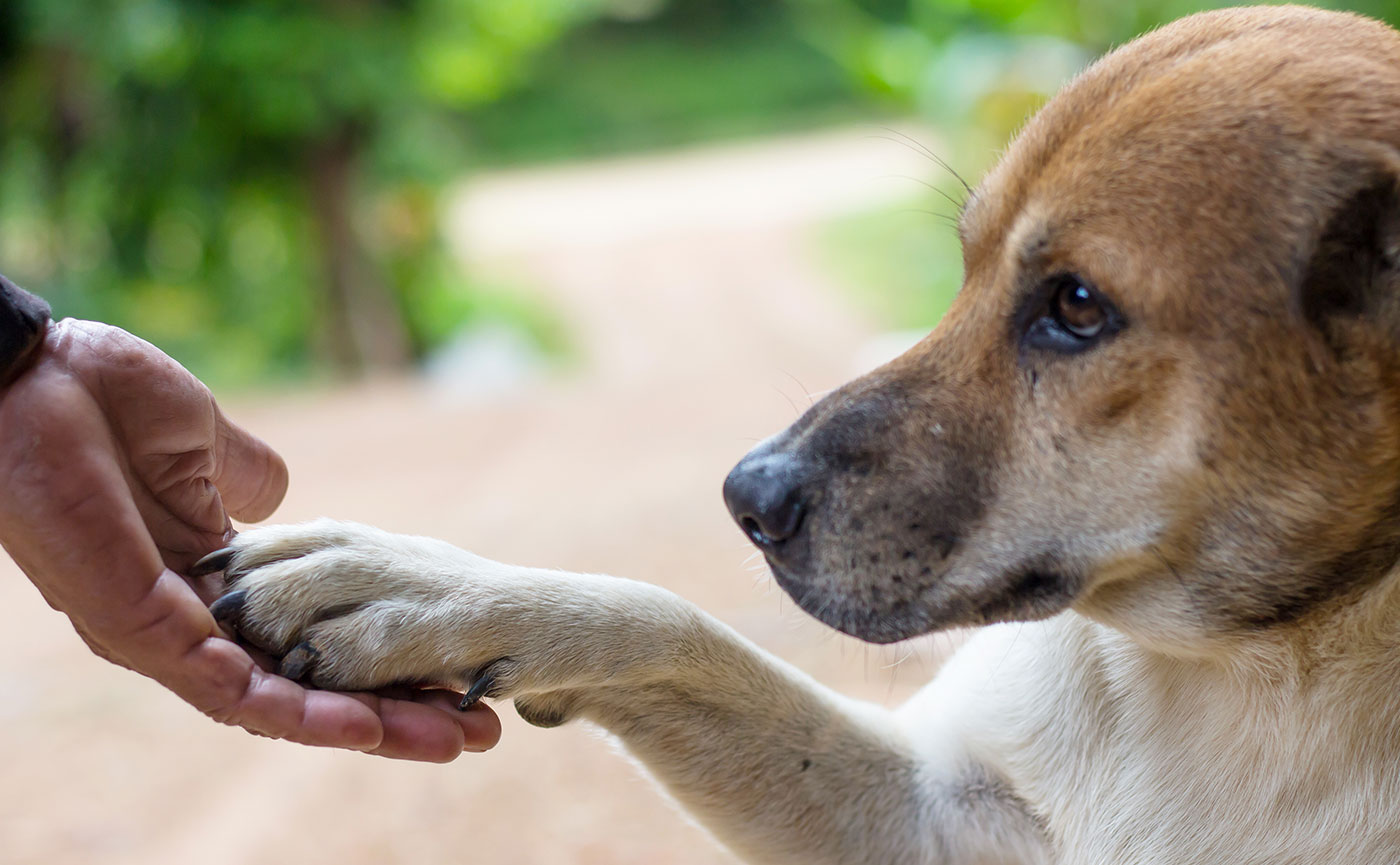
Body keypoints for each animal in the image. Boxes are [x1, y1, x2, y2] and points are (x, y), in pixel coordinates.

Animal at [200, 8, 1400, 862]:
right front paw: (428, 589)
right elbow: (671, 624)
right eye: (965, 267)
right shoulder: (918, 813)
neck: (1255, 664)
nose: (748, 497)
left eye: (1075, 305)